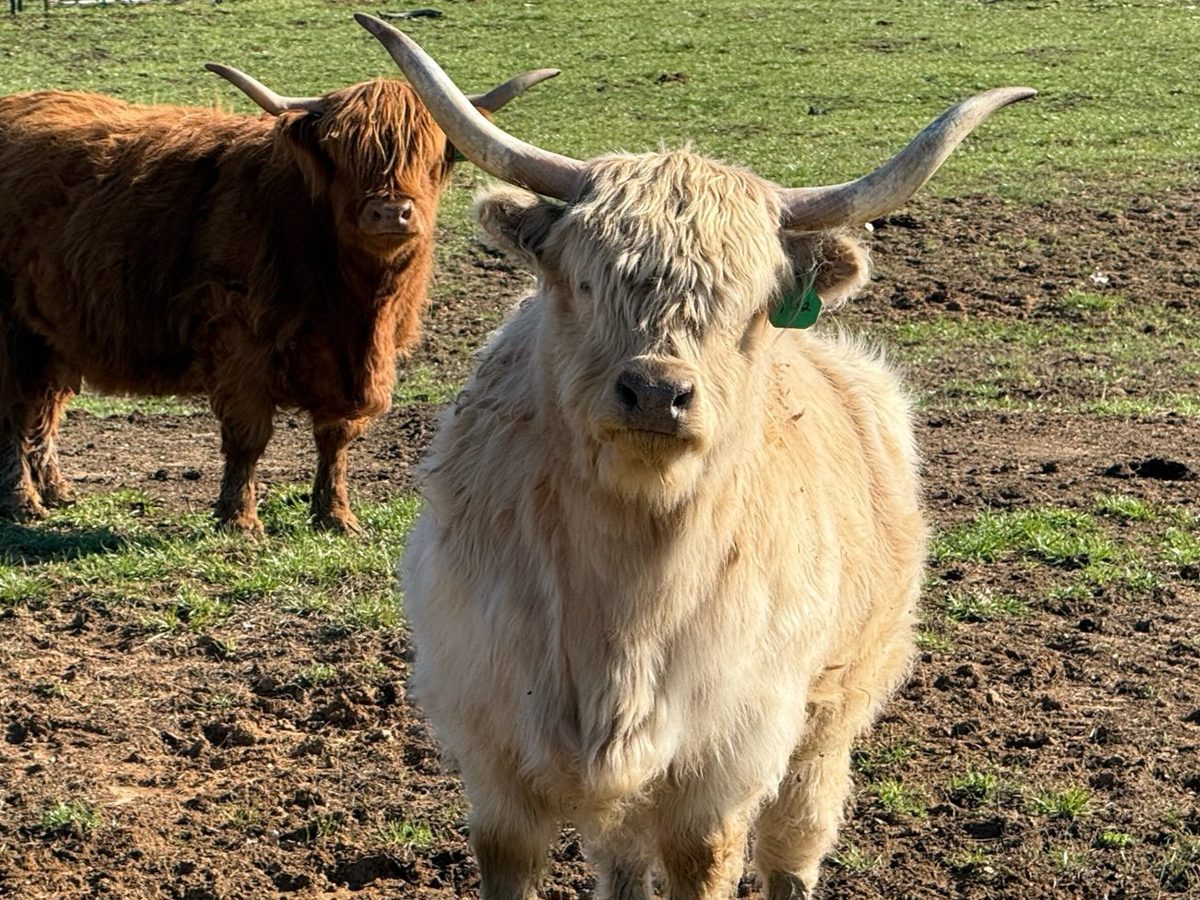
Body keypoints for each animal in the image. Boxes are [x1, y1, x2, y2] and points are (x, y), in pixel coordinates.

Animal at [0, 59, 557, 535]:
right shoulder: (238, 338)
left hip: (48, 333)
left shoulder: (362, 363)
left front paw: (336, 516)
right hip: (11, 330)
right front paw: (240, 521)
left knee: (45, 406)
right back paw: (24, 503)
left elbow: (336, 436)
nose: (389, 212)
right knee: (17, 411)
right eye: (341, 151)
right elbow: (248, 434)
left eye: (429, 150)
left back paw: (58, 491)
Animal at [359, 14, 1035, 900]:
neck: (627, 593)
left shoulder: (721, 767)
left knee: (793, 850)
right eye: (583, 281)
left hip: (827, 723)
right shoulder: (494, 750)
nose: (655, 391)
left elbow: (707, 862)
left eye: (749, 304)